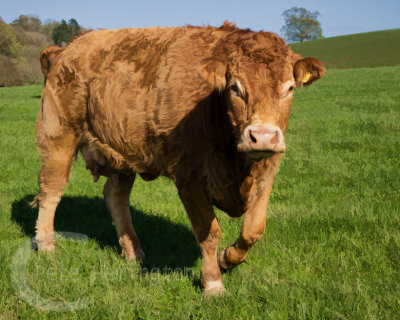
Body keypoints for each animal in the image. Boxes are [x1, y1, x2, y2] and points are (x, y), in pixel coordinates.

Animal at [32, 21, 324, 298]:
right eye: (235, 87)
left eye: (289, 88)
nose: (262, 137)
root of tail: (67, 49)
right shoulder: (189, 177)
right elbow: (209, 233)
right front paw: (213, 283)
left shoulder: (267, 171)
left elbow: (253, 230)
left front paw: (227, 259)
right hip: (58, 138)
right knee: (51, 191)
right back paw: (46, 244)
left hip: (121, 151)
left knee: (115, 196)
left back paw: (133, 250)